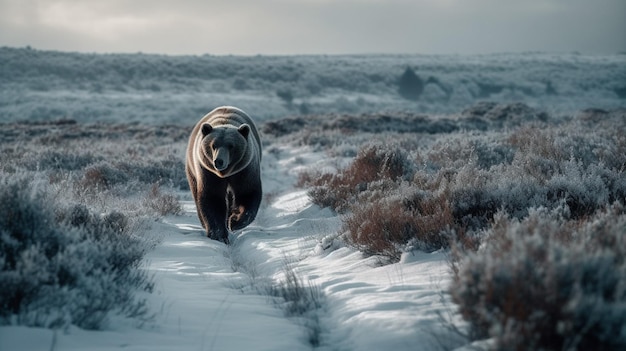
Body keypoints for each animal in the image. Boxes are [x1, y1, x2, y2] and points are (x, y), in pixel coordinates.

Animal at [186, 106, 262, 245]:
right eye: (213, 145)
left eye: (231, 146)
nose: (219, 161)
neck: (225, 173)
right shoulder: (208, 172)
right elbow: (212, 198)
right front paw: (219, 235)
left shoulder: (244, 170)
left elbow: (247, 193)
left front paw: (234, 222)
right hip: (192, 169)